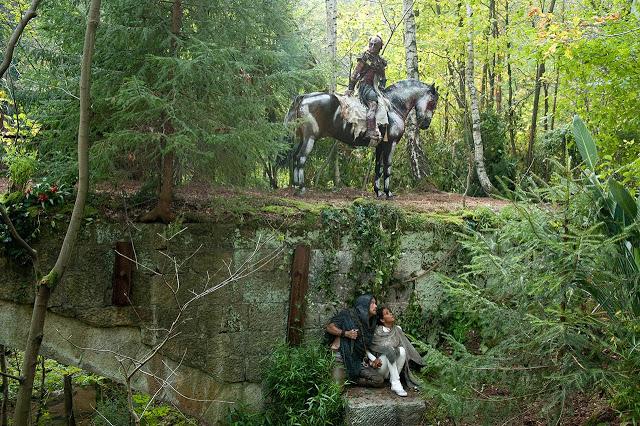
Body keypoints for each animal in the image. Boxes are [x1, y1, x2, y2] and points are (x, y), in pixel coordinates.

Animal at [288, 79, 438, 197]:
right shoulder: (391, 143)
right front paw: (388, 192)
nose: (426, 124)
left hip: (302, 138)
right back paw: (301, 188)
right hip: (310, 138)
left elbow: (378, 167)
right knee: (301, 158)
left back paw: (295, 186)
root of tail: (304, 97)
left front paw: (378, 192)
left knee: (295, 156)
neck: (393, 106)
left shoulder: (380, 146)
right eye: (432, 102)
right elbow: (388, 167)